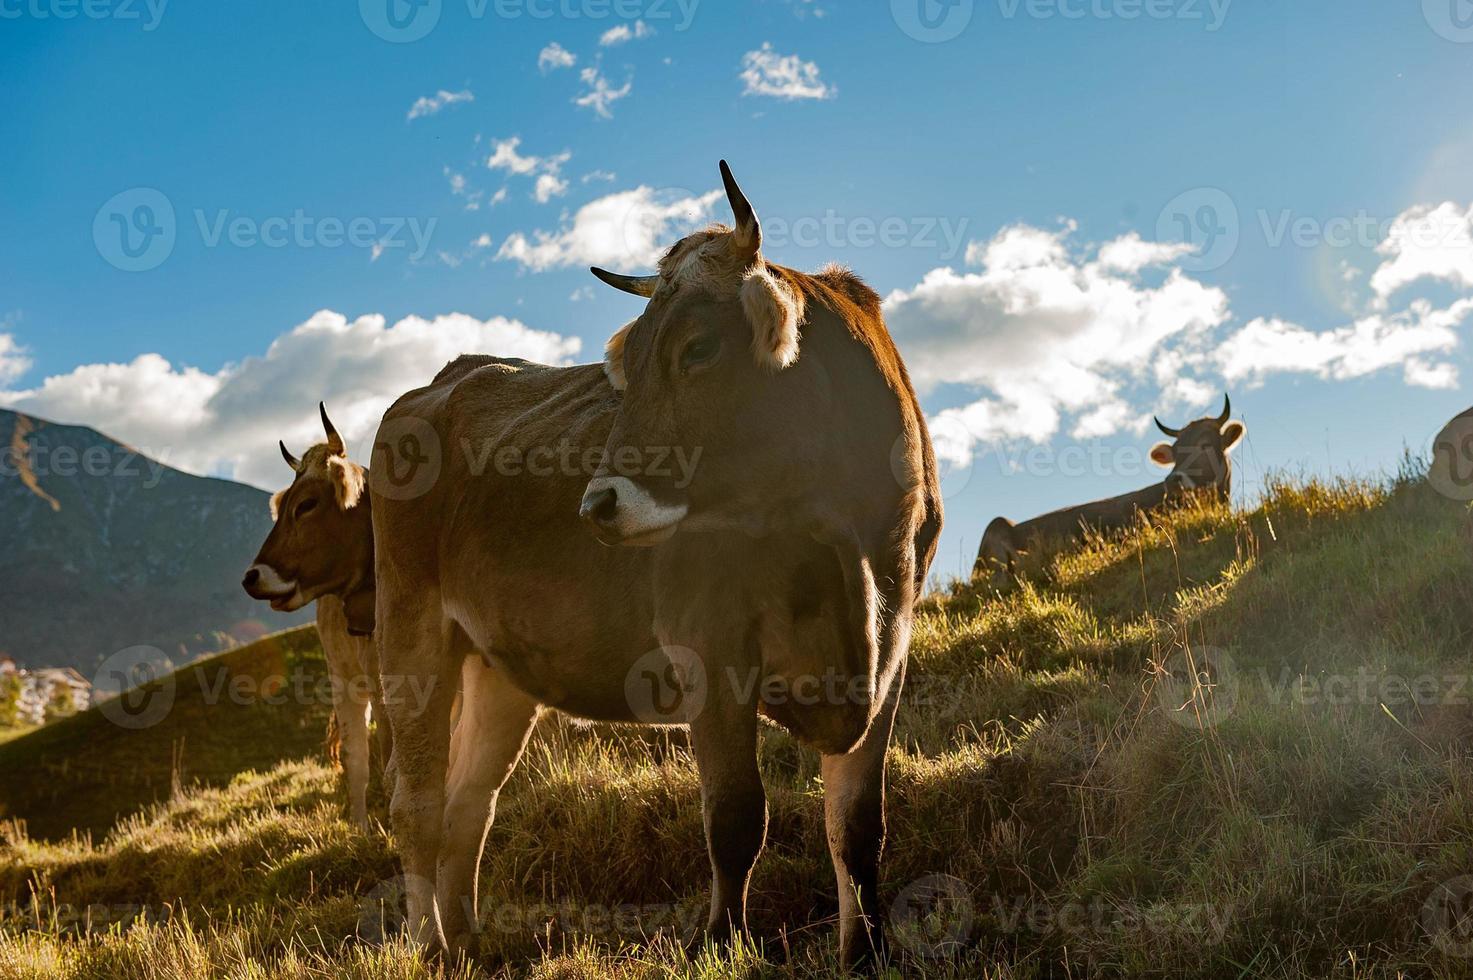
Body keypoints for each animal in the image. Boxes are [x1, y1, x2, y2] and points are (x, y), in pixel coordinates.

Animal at [580, 156, 936, 966]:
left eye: (697, 349)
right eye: (628, 363)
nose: (598, 505)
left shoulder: (896, 640)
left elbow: (857, 823)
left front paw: (865, 951)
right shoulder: (709, 641)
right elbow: (736, 815)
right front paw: (719, 945)